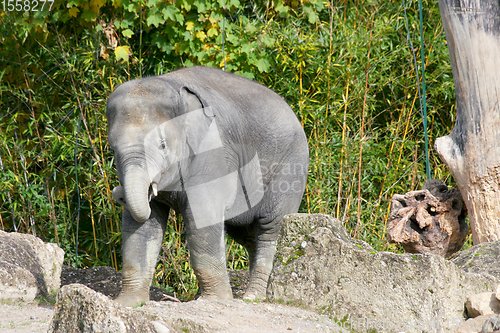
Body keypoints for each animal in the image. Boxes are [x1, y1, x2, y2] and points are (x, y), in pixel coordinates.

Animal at [107, 65, 306, 306]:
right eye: (113, 148)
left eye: (162, 145)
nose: (118, 193)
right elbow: (141, 226)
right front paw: (127, 303)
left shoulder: (212, 153)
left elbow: (203, 217)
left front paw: (217, 300)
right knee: (247, 235)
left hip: (290, 170)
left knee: (269, 228)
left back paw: (252, 297)